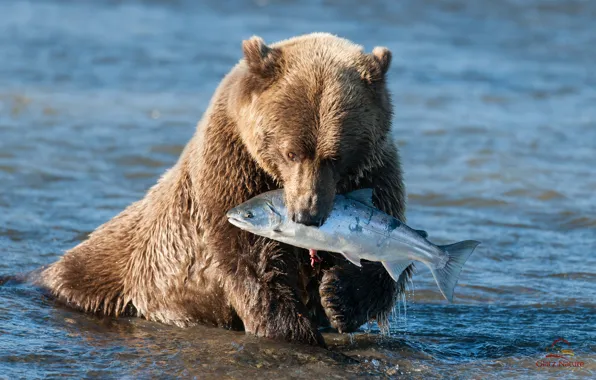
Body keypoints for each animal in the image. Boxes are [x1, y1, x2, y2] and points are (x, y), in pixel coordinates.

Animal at [36, 34, 410, 346]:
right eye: (291, 152)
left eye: (336, 156)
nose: (308, 213)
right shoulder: (232, 168)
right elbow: (254, 261)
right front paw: (293, 331)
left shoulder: (376, 173)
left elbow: (385, 256)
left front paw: (337, 297)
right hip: (115, 269)